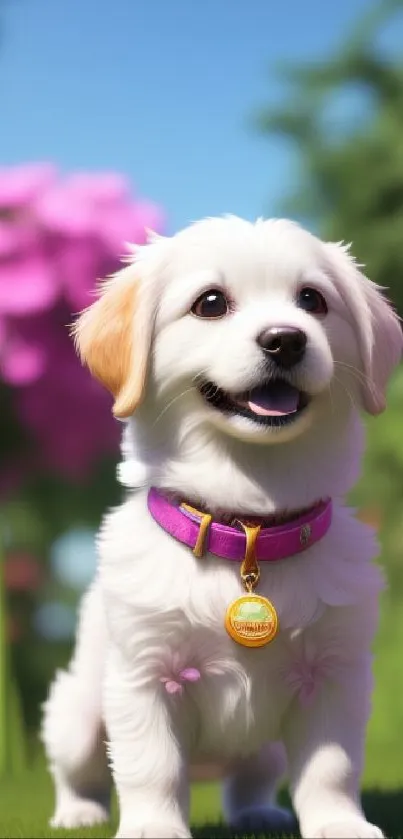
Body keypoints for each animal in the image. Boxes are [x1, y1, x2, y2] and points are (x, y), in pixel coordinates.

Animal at [42, 218, 402, 839]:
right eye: (210, 303)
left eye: (313, 300)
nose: (286, 339)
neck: (248, 524)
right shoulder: (143, 675)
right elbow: (151, 766)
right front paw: (153, 827)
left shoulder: (335, 675)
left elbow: (330, 767)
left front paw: (339, 823)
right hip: (77, 714)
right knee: (79, 768)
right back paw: (77, 812)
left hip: (265, 750)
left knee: (251, 777)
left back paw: (258, 810)